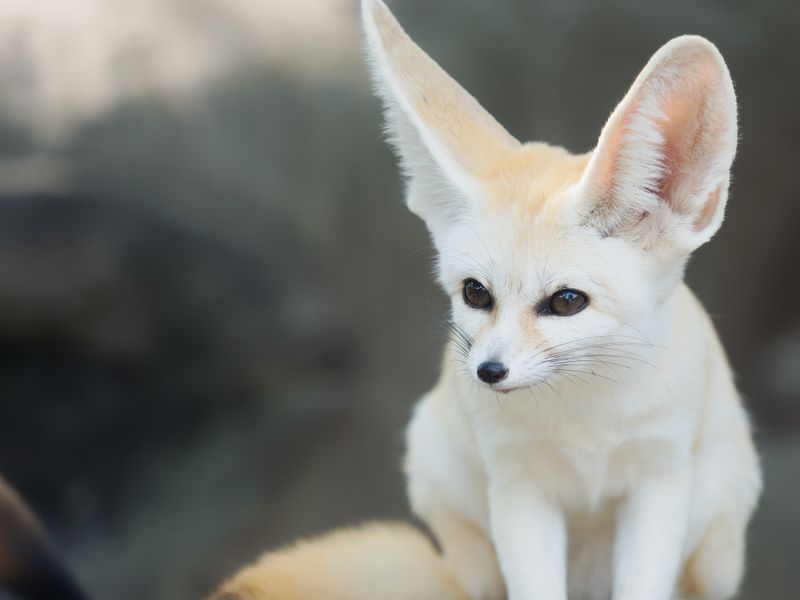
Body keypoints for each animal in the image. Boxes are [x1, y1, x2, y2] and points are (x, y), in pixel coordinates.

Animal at [362, 1, 764, 600]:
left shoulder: (659, 478)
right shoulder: (518, 486)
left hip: (718, 555)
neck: (585, 418)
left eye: (567, 301)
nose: (488, 372)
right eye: (475, 293)